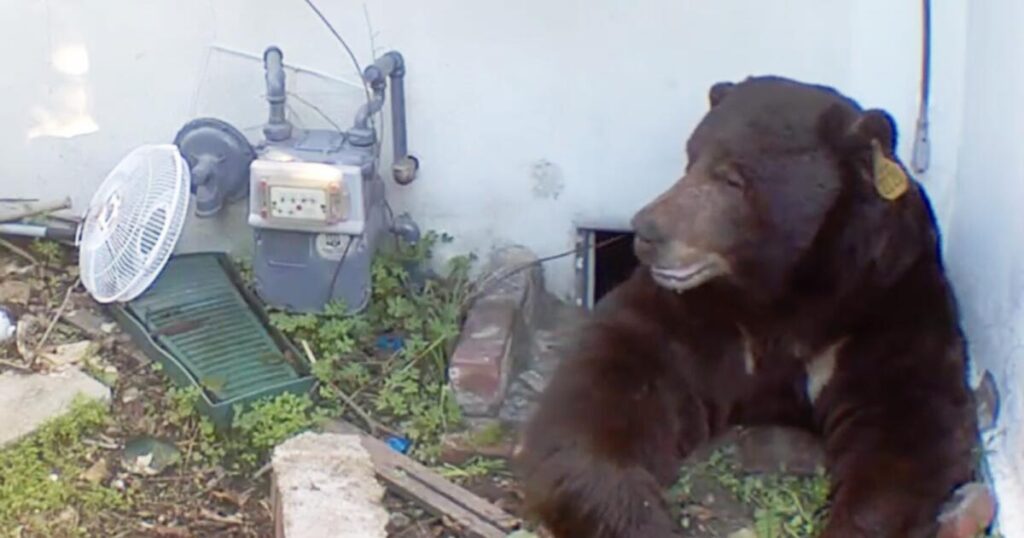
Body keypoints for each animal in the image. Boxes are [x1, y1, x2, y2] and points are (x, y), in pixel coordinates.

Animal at [514, 76, 980, 538]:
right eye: (690, 159)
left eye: (732, 179)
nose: (646, 231)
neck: (784, 292)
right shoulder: (697, 317)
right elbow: (605, 395)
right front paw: (642, 516)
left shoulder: (885, 304)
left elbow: (908, 427)